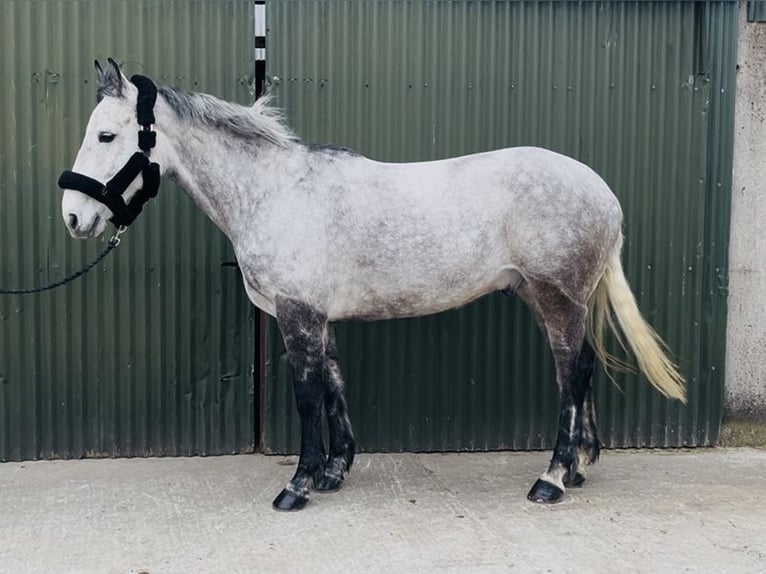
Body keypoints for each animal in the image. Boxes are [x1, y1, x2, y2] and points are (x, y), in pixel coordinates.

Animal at [60, 59, 685, 511]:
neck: (274, 192)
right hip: (551, 298)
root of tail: (602, 193)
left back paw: (551, 479)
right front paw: (335, 471)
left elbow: (307, 395)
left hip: (557, 298)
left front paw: (298, 486)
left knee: (571, 375)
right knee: (583, 369)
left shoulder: (298, 314)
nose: (73, 217)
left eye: (108, 135)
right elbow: (335, 385)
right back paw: (577, 468)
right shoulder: (320, 318)